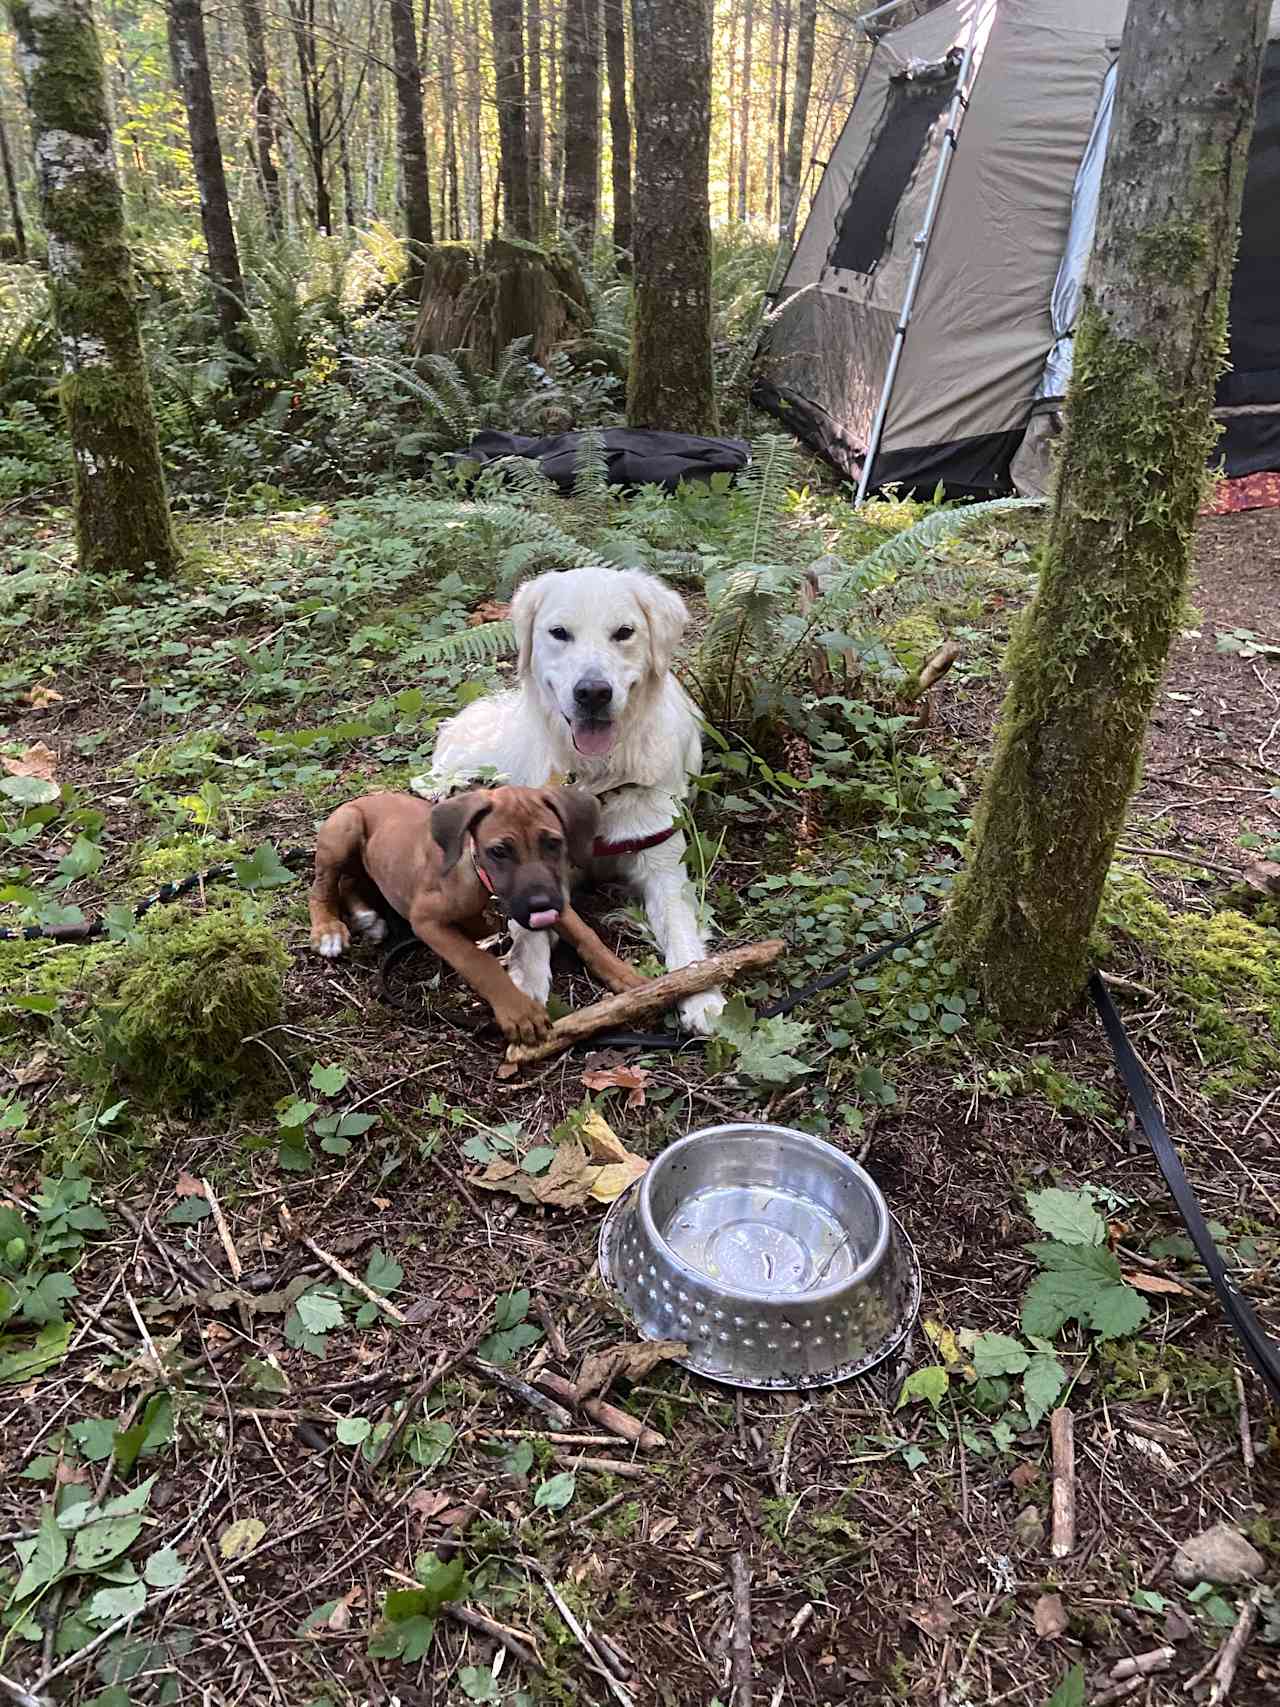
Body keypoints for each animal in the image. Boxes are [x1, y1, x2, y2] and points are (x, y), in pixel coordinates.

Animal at [308, 781, 645, 1037]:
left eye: (553, 843)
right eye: (499, 851)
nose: (540, 906)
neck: (484, 885)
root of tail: (363, 798)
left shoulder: (557, 897)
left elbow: (587, 935)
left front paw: (625, 975)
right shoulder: (427, 921)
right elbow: (478, 961)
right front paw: (518, 1009)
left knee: (349, 883)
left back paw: (367, 917)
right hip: (343, 831)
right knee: (322, 888)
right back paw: (329, 931)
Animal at [431, 570, 727, 1024]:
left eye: (624, 632)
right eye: (559, 633)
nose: (593, 692)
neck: (597, 778)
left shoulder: (663, 864)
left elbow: (680, 929)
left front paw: (701, 991)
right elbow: (528, 927)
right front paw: (526, 980)